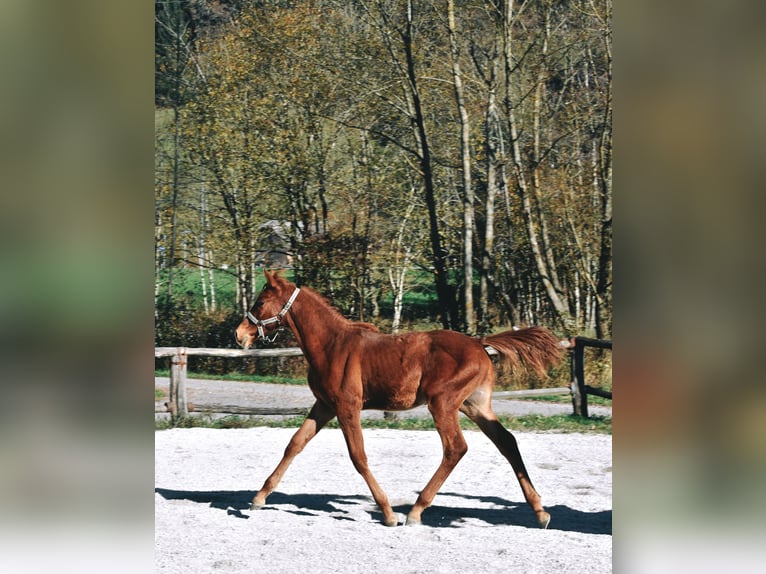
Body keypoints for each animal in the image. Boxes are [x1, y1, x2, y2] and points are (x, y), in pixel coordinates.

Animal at [237, 272, 568, 528]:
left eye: (260, 302)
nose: (240, 334)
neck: (332, 345)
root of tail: (479, 343)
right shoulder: (324, 406)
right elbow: (294, 444)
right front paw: (258, 498)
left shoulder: (347, 407)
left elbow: (358, 456)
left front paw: (387, 513)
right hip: (475, 405)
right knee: (507, 442)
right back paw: (540, 513)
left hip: (443, 403)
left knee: (455, 448)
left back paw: (416, 511)